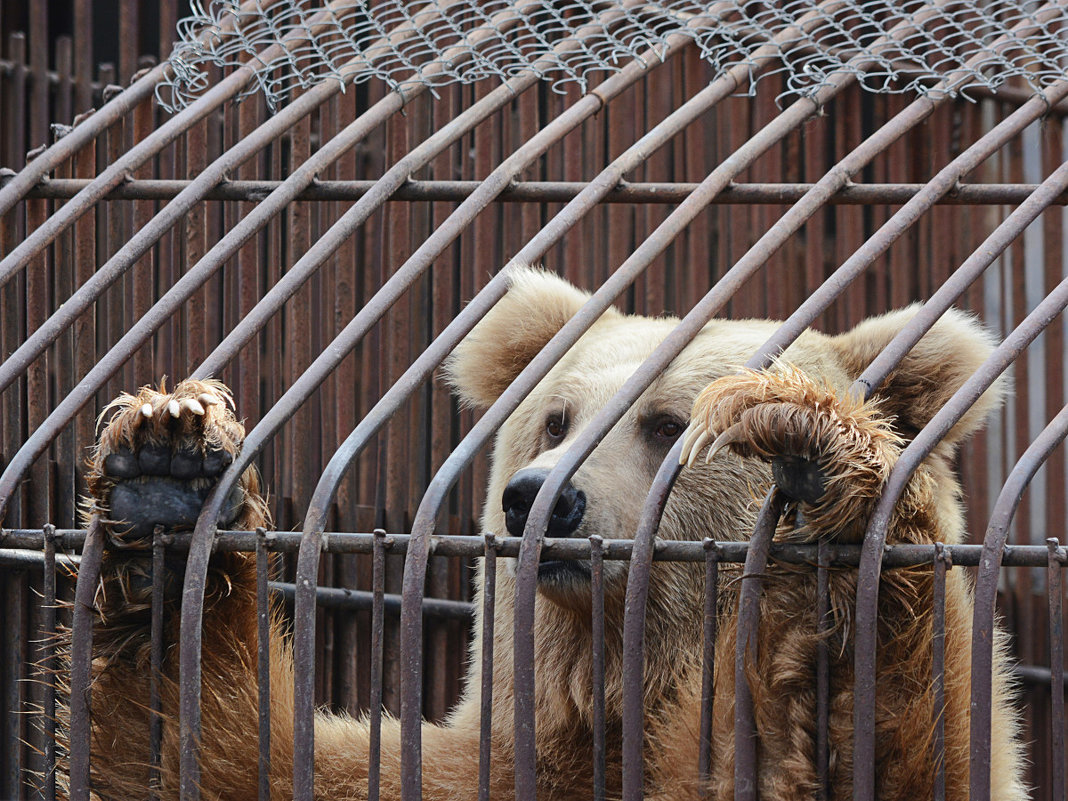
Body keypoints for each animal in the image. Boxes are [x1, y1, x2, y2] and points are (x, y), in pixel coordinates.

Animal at [77, 267, 1025, 798]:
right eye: (557, 418)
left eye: (664, 423)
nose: (540, 498)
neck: (614, 696)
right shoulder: (473, 769)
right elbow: (217, 756)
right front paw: (166, 468)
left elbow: (872, 739)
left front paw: (817, 449)